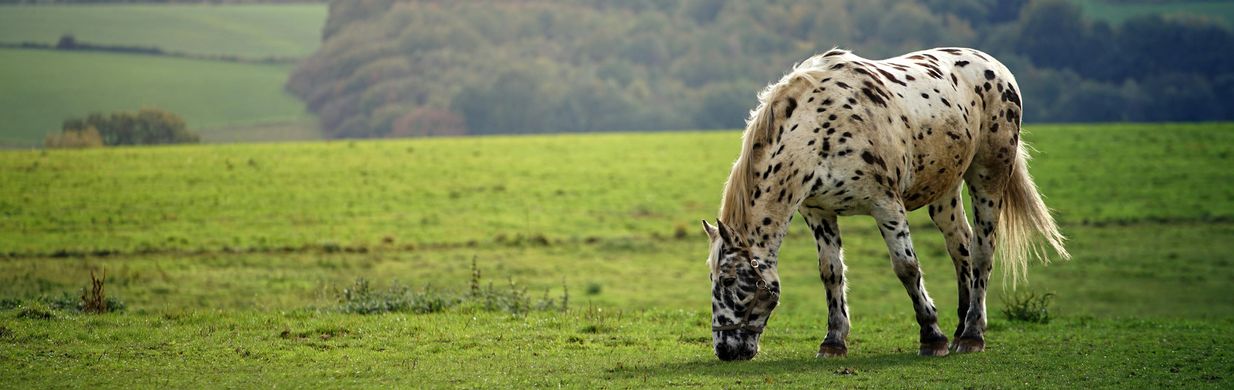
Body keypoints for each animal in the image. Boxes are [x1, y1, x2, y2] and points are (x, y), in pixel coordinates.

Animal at [705, 47, 1071, 360]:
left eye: (729, 280)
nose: (725, 349)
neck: (819, 130)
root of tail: (997, 68)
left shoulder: (886, 205)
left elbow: (906, 268)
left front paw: (931, 336)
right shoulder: (818, 212)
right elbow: (830, 272)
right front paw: (834, 341)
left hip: (988, 178)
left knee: (983, 250)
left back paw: (971, 334)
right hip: (945, 192)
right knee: (961, 247)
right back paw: (960, 326)